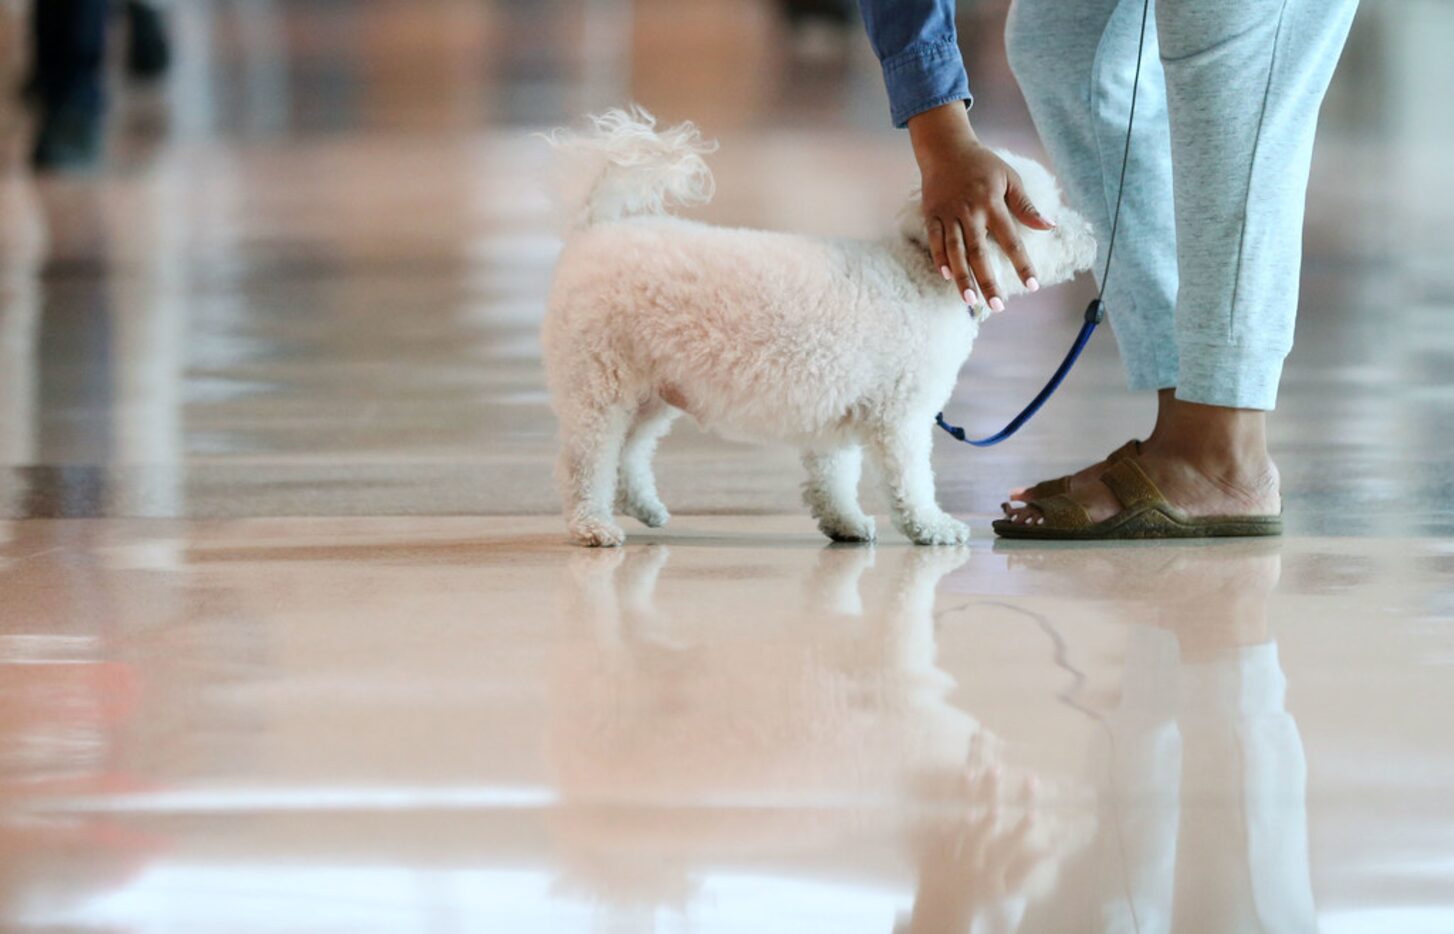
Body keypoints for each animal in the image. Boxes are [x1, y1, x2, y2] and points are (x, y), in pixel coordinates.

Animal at [543, 108, 1093, 547]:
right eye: (1046, 219)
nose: (1090, 235)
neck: (919, 272)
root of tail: (597, 230)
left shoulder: (837, 408)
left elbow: (833, 478)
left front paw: (845, 523)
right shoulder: (902, 416)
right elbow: (912, 481)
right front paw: (931, 526)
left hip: (651, 390)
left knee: (629, 454)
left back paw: (644, 507)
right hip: (599, 385)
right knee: (586, 462)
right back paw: (592, 526)